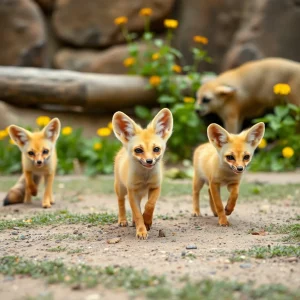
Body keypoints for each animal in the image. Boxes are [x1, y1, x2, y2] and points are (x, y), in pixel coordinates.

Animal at [112, 108, 173, 239]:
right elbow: (138, 213)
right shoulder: (132, 191)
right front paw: (141, 230)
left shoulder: (155, 187)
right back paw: (123, 220)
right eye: (138, 150)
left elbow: (149, 205)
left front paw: (147, 221)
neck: (145, 178)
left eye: (156, 149)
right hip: (121, 189)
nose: (149, 161)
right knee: (121, 202)